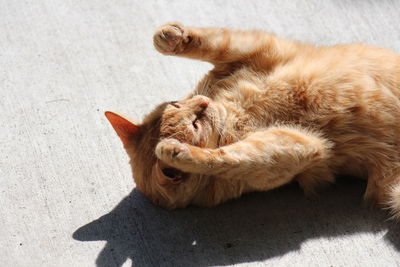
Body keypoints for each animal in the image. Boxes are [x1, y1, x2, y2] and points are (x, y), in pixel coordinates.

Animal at [104, 22, 400, 220]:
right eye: (195, 124)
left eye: (177, 104)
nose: (203, 103)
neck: (235, 114)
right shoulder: (297, 146)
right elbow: (230, 158)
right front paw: (178, 152)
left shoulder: (257, 49)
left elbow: (212, 41)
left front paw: (169, 36)